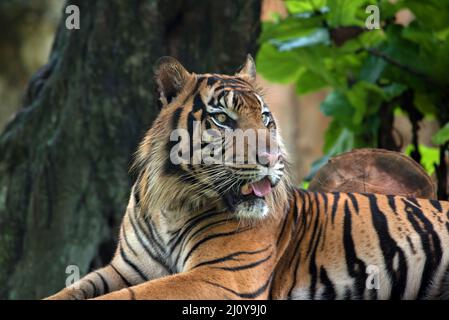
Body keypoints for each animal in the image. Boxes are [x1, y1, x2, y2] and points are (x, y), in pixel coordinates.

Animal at [46, 55, 449, 300]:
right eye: (223, 118)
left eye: (266, 118)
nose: (273, 157)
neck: (171, 203)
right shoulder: (126, 268)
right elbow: (71, 291)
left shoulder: (220, 275)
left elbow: (123, 298)